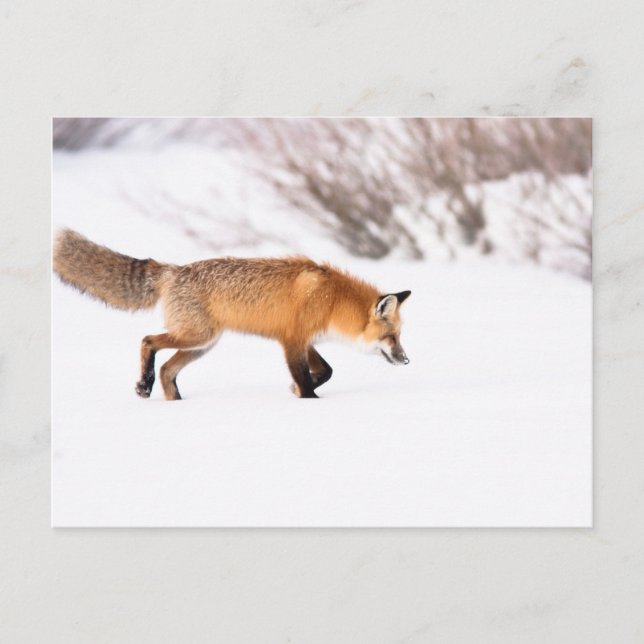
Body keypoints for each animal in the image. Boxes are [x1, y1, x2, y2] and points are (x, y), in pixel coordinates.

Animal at [53, 229, 411, 400]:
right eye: (391, 337)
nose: (406, 360)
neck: (333, 299)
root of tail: (173, 271)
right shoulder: (292, 341)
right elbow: (307, 379)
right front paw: (307, 398)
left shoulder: (305, 340)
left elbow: (325, 371)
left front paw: (297, 389)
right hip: (196, 336)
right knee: (148, 341)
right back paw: (145, 384)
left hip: (201, 345)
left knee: (168, 370)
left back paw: (174, 403)